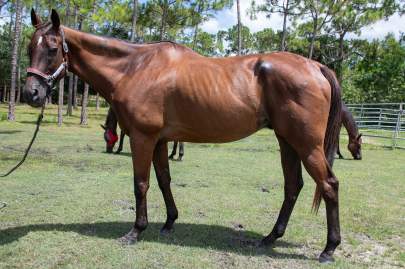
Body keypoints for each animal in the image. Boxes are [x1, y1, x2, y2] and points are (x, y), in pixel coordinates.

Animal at [23, 9, 342, 262]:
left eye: (52, 48)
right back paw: (269, 238)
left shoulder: (142, 137)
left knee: (328, 185)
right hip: (287, 141)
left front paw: (136, 231)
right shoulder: (160, 140)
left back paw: (328, 249)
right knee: (293, 186)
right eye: (29, 48)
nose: (32, 93)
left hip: (306, 145)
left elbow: (141, 184)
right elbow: (164, 180)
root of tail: (315, 66)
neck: (134, 68)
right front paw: (168, 222)